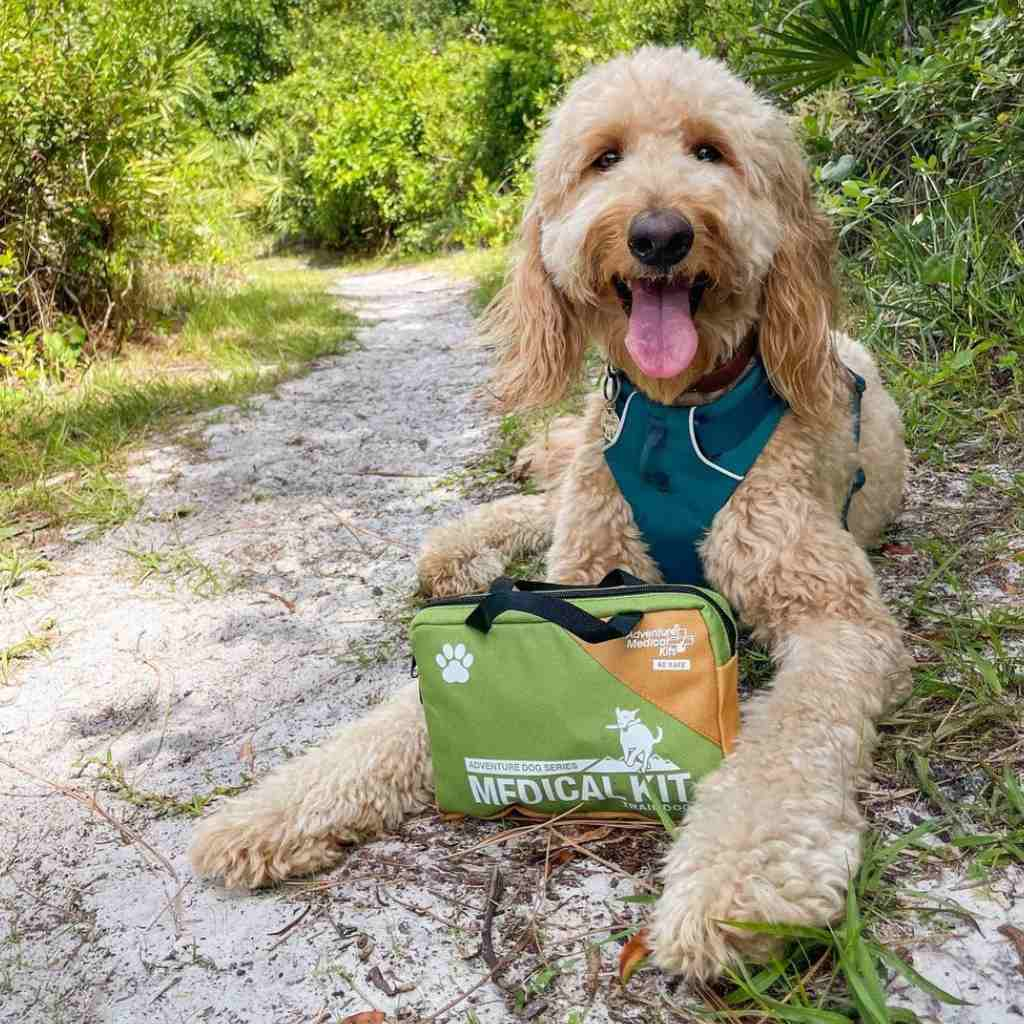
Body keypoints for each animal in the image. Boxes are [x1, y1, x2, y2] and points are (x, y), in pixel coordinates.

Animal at [192, 49, 913, 983]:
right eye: (604, 158)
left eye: (710, 152)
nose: (658, 234)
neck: (674, 418)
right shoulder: (575, 579)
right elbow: (395, 720)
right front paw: (272, 811)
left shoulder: (837, 617)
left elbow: (795, 739)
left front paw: (743, 883)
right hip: (579, 489)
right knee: (549, 488)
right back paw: (462, 544)